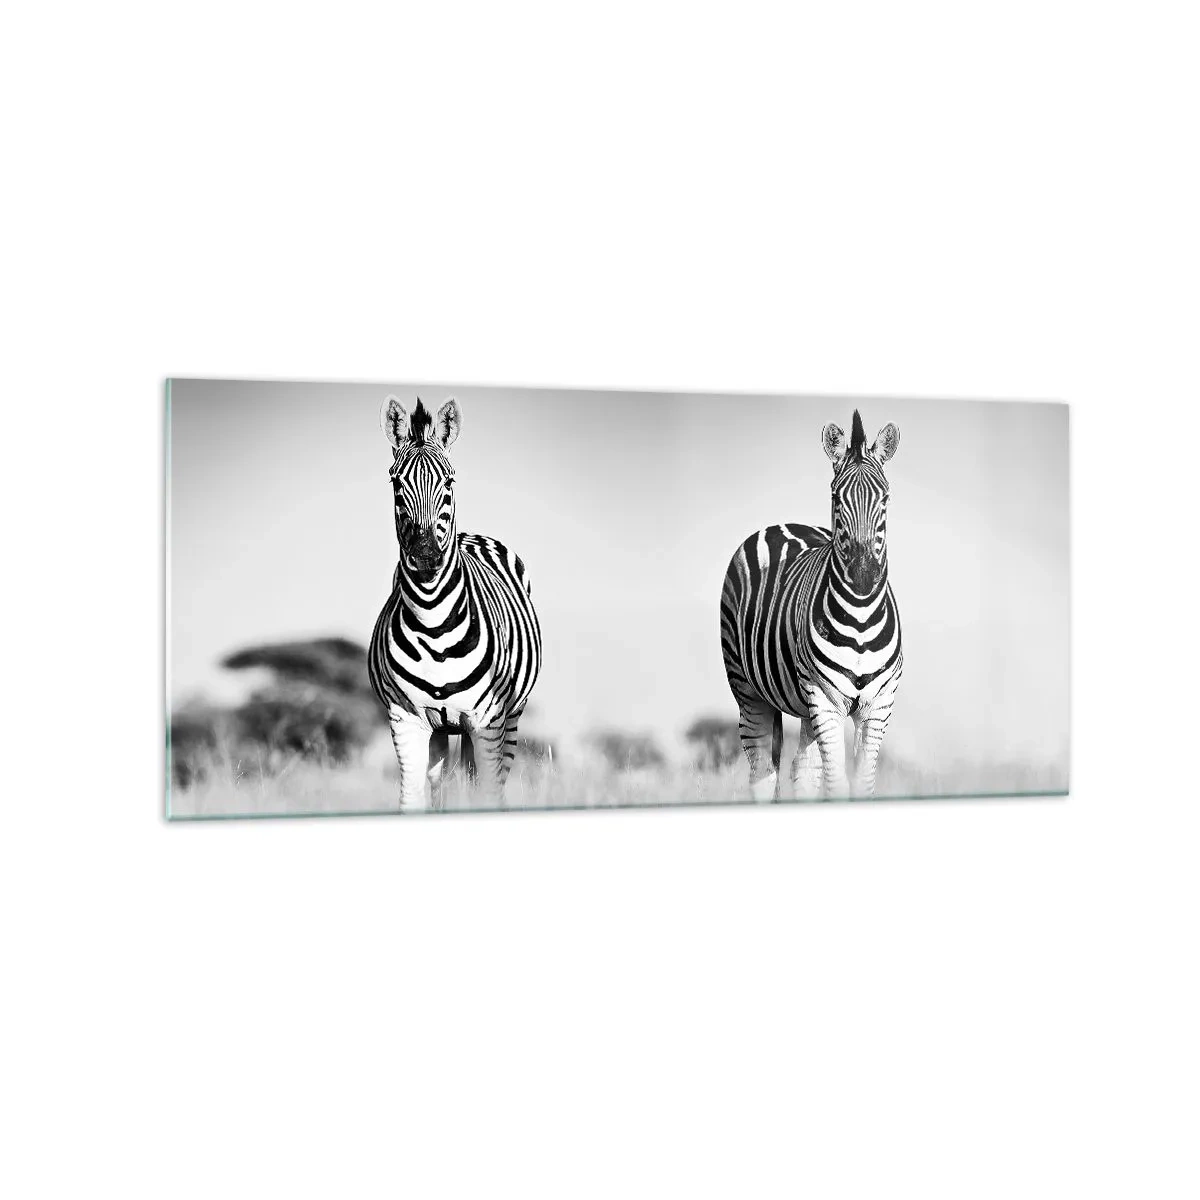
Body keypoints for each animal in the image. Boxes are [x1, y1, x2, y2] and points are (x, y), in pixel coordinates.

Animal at [369, 395, 541, 810]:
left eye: (448, 481)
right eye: (396, 483)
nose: (426, 556)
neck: (434, 623)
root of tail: (472, 535)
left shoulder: (488, 721)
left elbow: (488, 793)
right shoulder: (406, 720)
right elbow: (413, 799)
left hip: (510, 718)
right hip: (442, 729)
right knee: (442, 783)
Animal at [719, 410, 902, 800]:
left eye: (885, 498)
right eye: (836, 498)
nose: (863, 575)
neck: (861, 618)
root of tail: (783, 523)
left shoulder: (878, 705)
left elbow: (861, 783)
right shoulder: (825, 699)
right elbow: (836, 783)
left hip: (804, 704)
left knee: (802, 771)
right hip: (748, 690)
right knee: (762, 772)